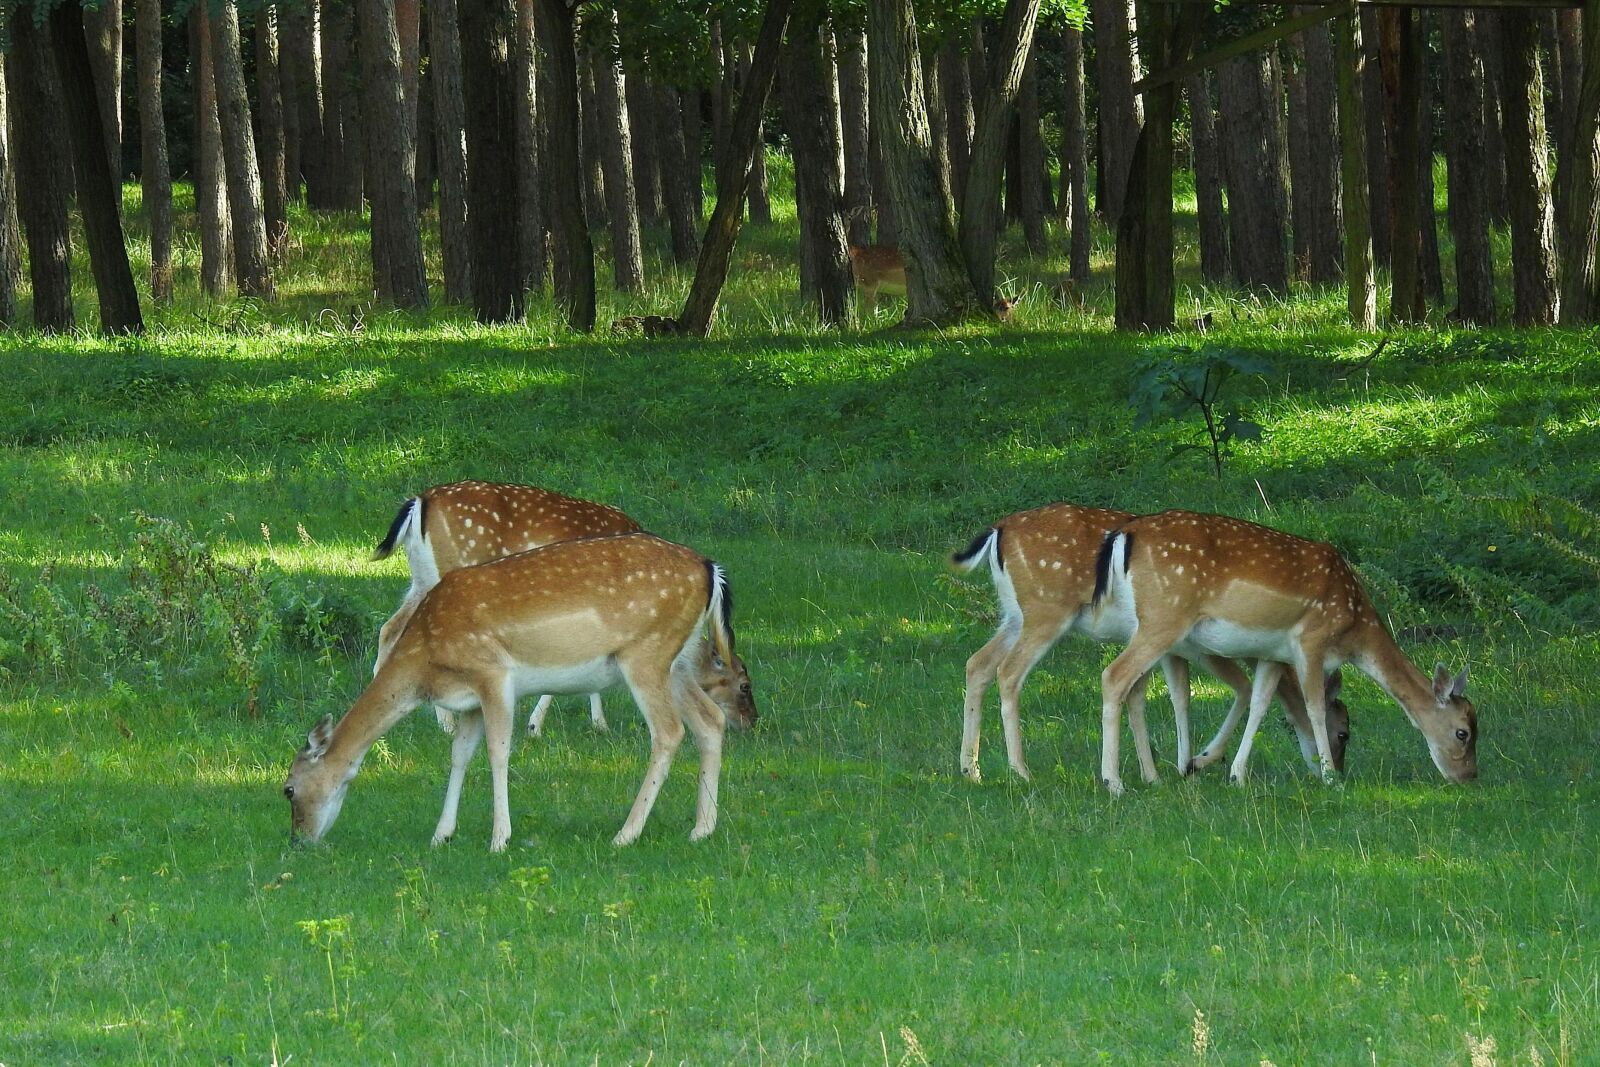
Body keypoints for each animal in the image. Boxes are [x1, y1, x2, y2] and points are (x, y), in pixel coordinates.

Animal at [286, 533, 758, 852]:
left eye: (288, 789)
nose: (299, 839)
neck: (427, 664)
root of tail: (711, 569)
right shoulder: (468, 700)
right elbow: (459, 755)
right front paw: (442, 834)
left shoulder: (493, 673)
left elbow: (498, 752)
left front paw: (500, 838)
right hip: (678, 661)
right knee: (711, 720)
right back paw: (701, 828)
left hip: (646, 653)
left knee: (669, 731)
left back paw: (626, 833)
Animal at [371, 480, 641, 736]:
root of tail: (419, 501)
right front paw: (538, 727)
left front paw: (597, 724)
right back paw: (447, 726)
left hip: (422, 578)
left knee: (389, 628)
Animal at [953, 503, 1348, 788]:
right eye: (1343, 731)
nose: (1334, 768)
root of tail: (996, 532)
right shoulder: (1199, 647)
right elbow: (1236, 689)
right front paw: (1192, 764)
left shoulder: (1172, 649)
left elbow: (1159, 695)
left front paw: (1164, 771)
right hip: (1045, 612)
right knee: (1009, 672)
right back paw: (1020, 771)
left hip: (1013, 617)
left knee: (978, 663)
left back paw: (972, 770)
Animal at [1091, 510, 1477, 795]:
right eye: (1463, 732)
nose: (1468, 776)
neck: (1355, 627)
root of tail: (1125, 534)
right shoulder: (1311, 640)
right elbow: (1315, 706)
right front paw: (1330, 778)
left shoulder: (1273, 654)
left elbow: (1261, 703)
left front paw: (1236, 775)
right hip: (1165, 617)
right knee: (1114, 675)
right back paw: (1114, 782)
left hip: (1152, 626)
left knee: (1137, 686)